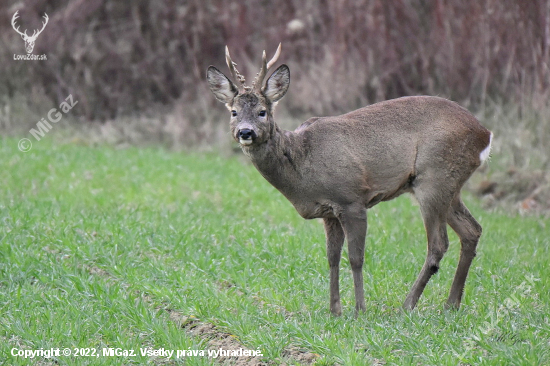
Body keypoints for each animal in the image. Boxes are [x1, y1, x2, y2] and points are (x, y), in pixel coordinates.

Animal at [208, 44, 496, 316]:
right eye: (233, 112)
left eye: (262, 112)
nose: (245, 132)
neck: (302, 162)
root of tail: (485, 134)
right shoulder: (329, 211)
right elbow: (332, 258)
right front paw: (334, 310)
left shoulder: (351, 199)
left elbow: (356, 258)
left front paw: (359, 310)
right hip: (448, 186)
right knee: (472, 230)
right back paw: (451, 304)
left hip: (435, 177)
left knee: (438, 244)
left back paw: (408, 305)